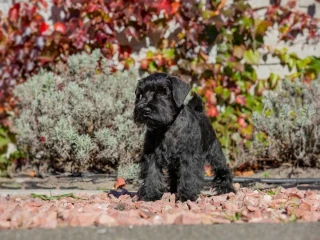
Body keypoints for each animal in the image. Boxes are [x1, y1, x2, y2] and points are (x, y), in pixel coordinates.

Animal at [133, 72, 235, 201]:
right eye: (141, 93)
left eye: (163, 92)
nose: (145, 109)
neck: (167, 128)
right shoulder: (151, 155)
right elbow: (152, 174)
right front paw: (151, 194)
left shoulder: (189, 156)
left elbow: (188, 175)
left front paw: (187, 195)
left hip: (215, 153)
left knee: (223, 169)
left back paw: (227, 189)